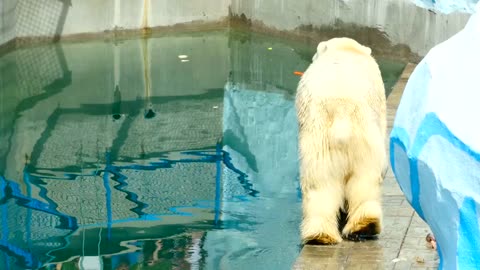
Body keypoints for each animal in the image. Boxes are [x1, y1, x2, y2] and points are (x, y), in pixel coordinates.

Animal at [294, 37, 388, 244]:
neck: (346, 50)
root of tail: (341, 113)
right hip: (360, 141)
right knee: (360, 181)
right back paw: (361, 227)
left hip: (323, 141)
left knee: (320, 184)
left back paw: (322, 235)